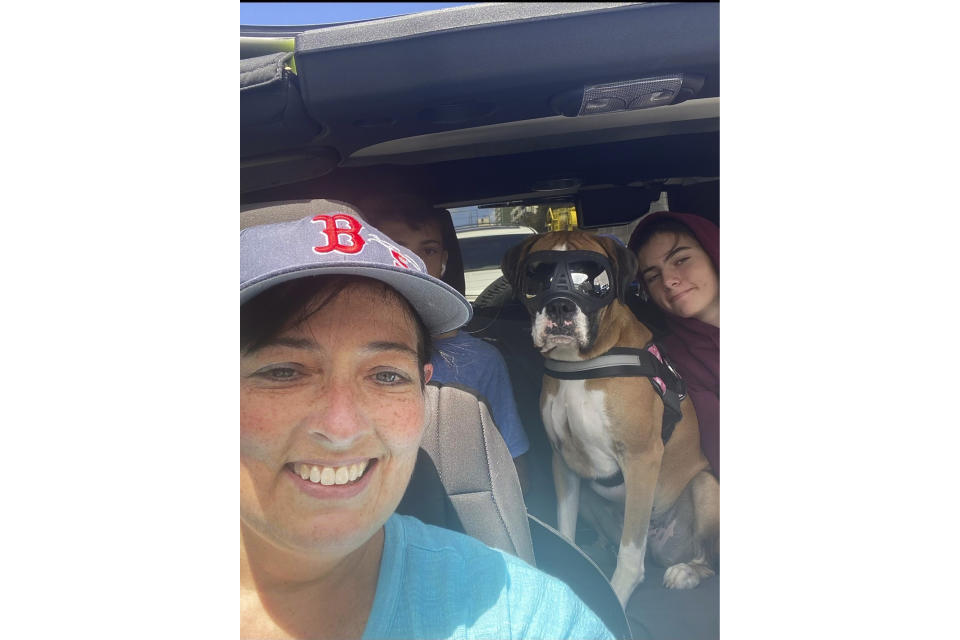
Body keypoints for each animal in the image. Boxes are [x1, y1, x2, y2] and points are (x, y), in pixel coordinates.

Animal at [502, 229, 720, 604]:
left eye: (593, 283)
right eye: (537, 279)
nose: (560, 305)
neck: (581, 363)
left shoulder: (641, 458)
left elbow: (630, 554)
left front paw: (616, 594)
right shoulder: (564, 459)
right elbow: (564, 528)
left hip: (705, 487)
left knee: (704, 557)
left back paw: (687, 572)